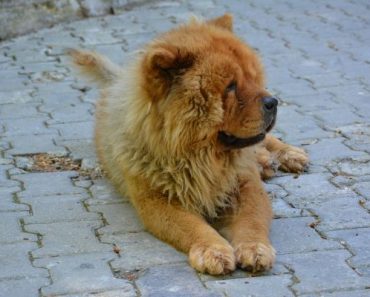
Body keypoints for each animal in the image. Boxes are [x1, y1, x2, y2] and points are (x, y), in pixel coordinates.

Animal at [68, 13, 308, 272]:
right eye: (231, 86)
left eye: (254, 78)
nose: (273, 102)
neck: (200, 157)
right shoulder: (157, 200)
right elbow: (194, 227)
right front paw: (214, 251)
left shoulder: (246, 185)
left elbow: (252, 220)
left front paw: (255, 249)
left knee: (266, 143)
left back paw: (289, 156)